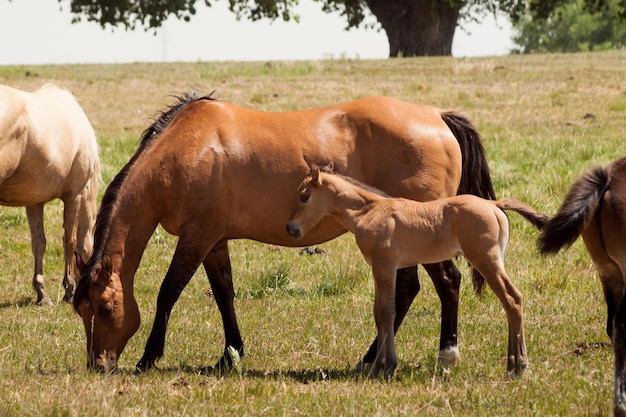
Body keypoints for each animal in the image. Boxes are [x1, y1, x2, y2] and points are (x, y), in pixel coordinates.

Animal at [0, 83, 100, 306]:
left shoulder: (34, 201)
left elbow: (39, 243)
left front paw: (42, 293)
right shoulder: (75, 196)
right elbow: (70, 240)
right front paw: (69, 289)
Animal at [73, 91, 494, 370]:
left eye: (107, 307)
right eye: (81, 310)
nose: (98, 364)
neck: (184, 151)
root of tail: (438, 116)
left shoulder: (197, 238)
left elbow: (168, 293)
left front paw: (148, 357)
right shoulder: (214, 241)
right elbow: (224, 295)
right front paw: (231, 355)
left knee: (447, 281)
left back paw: (445, 354)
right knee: (408, 289)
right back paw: (369, 359)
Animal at [286, 163, 544, 376]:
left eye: (304, 195)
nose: (291, 228)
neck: (370, 212)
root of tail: (493, 205)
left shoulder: (385, 265)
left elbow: (387, 312)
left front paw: (386, 366)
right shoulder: (380, 267)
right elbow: (378, 313)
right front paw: (379, 365)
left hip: (486, 261)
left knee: (512, 299)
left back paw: (518, 367)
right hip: (493, 261)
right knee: (513, 300)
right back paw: (513, 365)